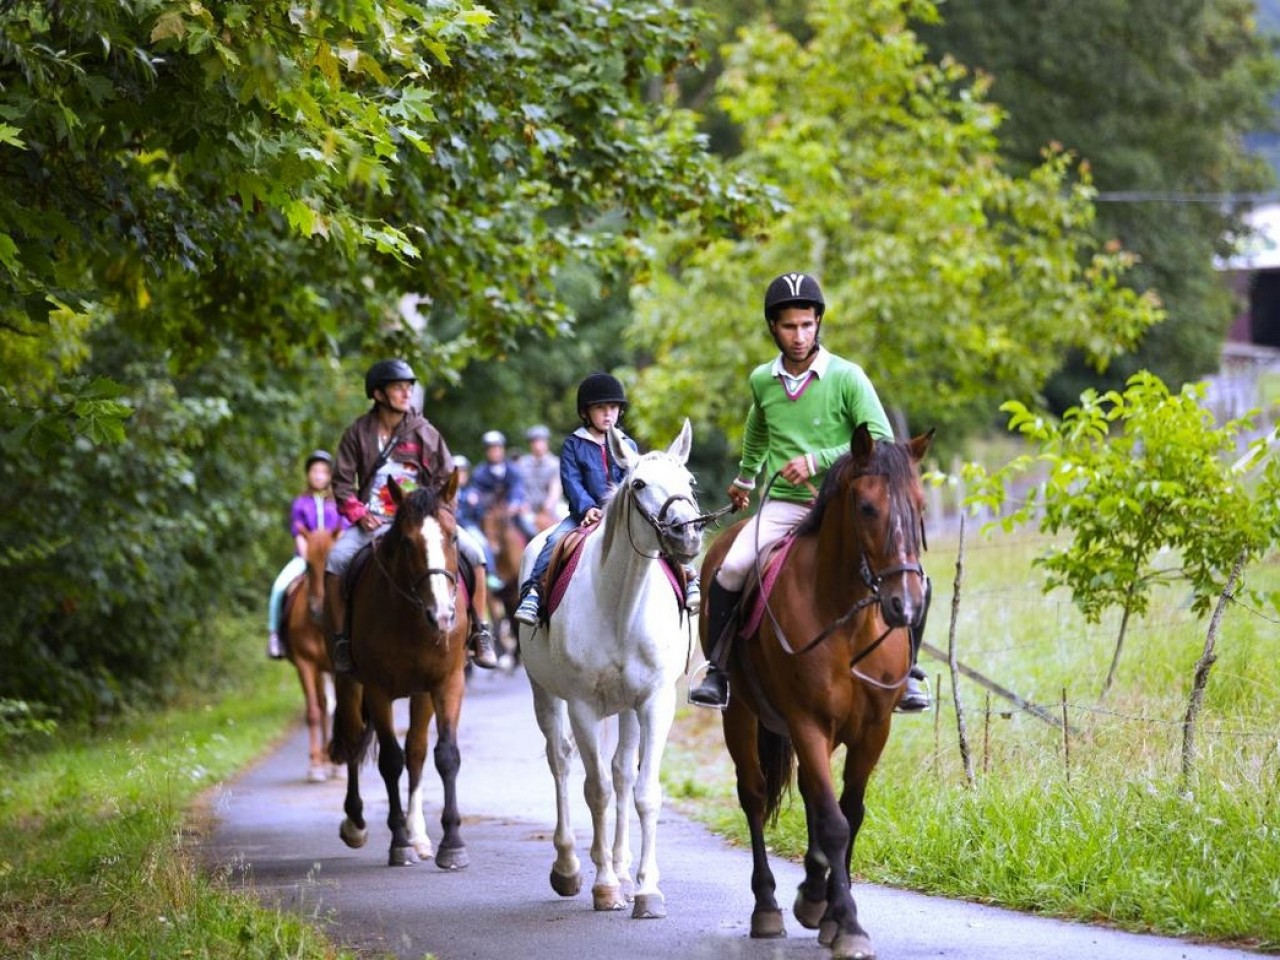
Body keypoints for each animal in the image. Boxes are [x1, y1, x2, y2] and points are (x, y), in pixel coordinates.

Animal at [327, 476, 473, 870]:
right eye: (407, 542)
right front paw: (398, 843)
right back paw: (355, 823)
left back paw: (419, 835)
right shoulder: (377, 690)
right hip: (349, 684)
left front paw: (451, 844)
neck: (413, 618)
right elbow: (390, 761)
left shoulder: (446, 683)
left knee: (417, 751)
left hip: (421, 694)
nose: (443, 615)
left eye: (453, 537)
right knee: (352, 741)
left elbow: (445, 755)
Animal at [706, 427, 936, 960]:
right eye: (867, 508)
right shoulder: (808, 723)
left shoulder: (872, 729)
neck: (846, 619)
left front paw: (829, 911)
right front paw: (848, 925)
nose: (906, 606)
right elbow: (833, 821)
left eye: (919, 504)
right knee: (754, 795)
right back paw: (768, 907)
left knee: (812, 795)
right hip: (741, 715)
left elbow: (849, 813)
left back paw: (813, 895)